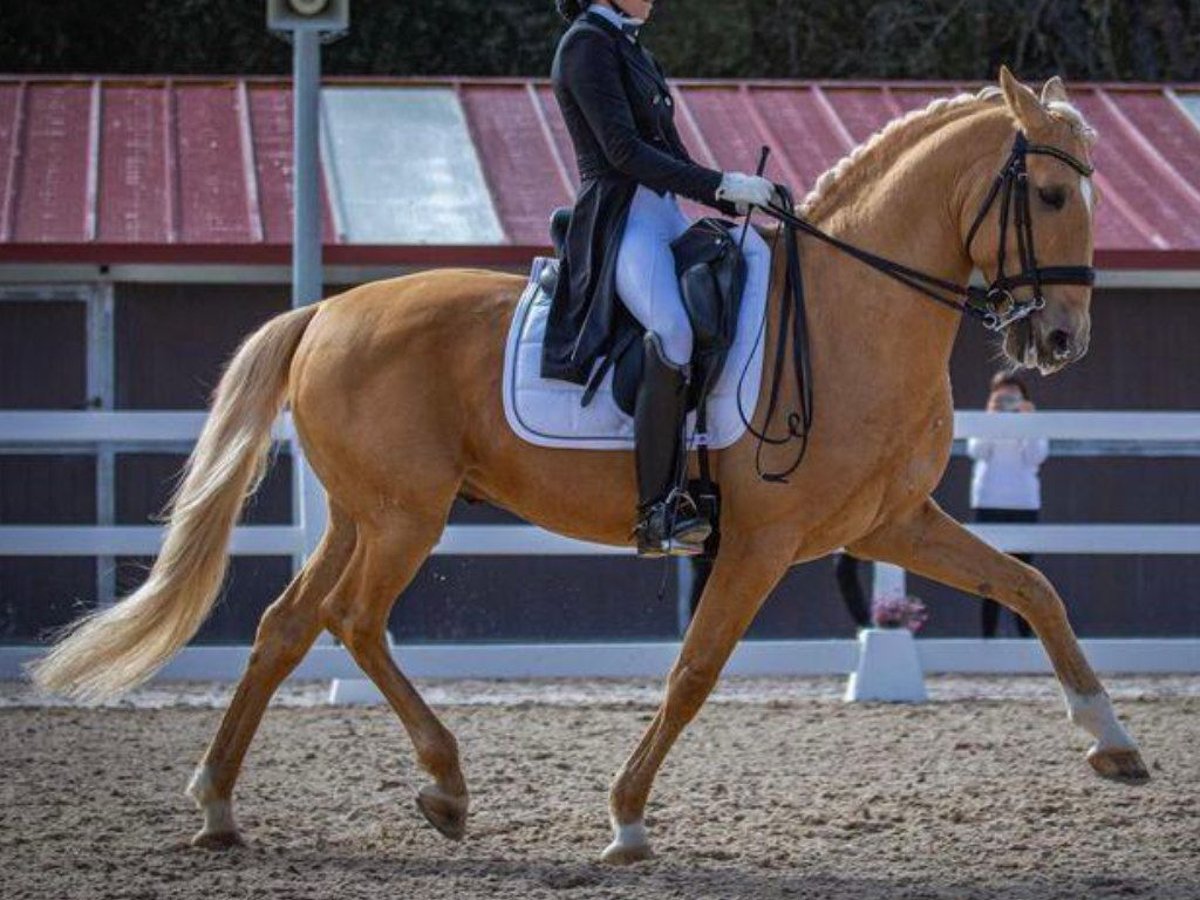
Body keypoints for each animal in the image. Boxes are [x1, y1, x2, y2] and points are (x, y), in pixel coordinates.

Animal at [35, 66, 1142, 864]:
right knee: (352, 621)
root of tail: (326, 313)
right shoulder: (764, 542)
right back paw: (444, 786)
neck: (849, 314)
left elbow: (1032, 587)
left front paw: (1112, 742)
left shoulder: (888, 523)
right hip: (404, 516)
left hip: (360, 513)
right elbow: (694, 671)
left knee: (284, 627)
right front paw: (626, 819)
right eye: (1049, 192)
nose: (1060, 340)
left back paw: (220, 808)